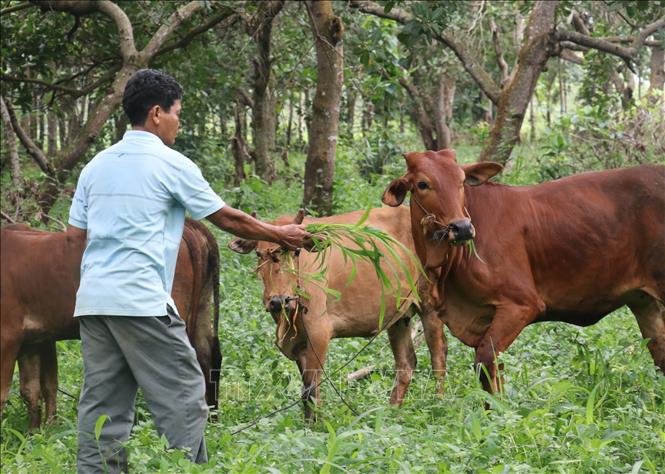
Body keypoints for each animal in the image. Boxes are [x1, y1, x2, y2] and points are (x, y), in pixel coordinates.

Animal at [0, 219, 223, 430]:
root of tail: (191, 227)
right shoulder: (36, 339)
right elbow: (37, 387)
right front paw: (37, 432)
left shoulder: (8, 336)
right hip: (202, 308)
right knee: (208, 357)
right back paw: (211, 421)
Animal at [228, 207, 446, 418]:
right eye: (258, 254)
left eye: (297, 252)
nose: (278, 300)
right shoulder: (300, 342)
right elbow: (309, 389)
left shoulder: (319, 332)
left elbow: (310, 390)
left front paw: (314, 426)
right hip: (399, 317)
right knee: (406, 364)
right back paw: (391, 412)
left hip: (430, 306)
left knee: (438, 357)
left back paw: (438, 405)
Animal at [382, 150, 664, 394]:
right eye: (422, 184)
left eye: (461, 181)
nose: (461, 228)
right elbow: (495, 370)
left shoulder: (521, 304)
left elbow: (484, 362)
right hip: (644, 302)